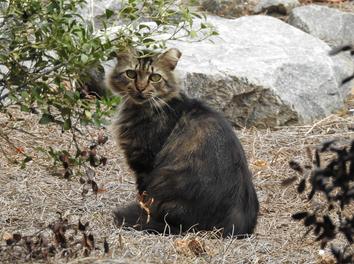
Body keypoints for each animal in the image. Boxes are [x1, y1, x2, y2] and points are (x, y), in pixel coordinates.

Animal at [106, 47, 258, 237]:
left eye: (155, 77)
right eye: (131, 74)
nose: (140, 88)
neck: (141, 109)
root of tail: (238, 227)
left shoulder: (145, 162)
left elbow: (143, 197)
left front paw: (143, 213)